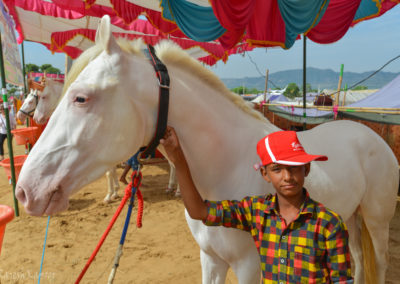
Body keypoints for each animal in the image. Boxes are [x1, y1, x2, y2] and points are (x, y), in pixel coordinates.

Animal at [14, 15, 398, 284]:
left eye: (81, 98)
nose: (25, 191)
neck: (227, 167)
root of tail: (371, 136)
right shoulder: (211, 259)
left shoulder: (248, 266)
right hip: (350, 217)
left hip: (377, 220)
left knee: (378, 263)